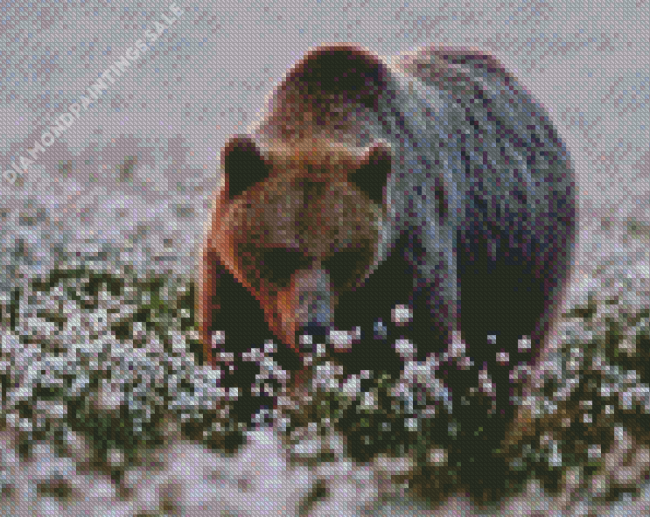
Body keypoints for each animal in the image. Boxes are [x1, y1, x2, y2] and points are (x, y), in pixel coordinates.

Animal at [195, 43, 576, 424]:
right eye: (280, 254)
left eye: (341, 256)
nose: (311, 329)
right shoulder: (232, 275)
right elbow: (238, 353)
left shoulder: (402, 257)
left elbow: (406, 347)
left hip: (518, 261)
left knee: (503, 358)